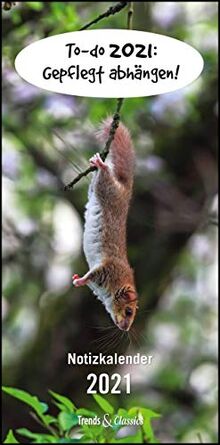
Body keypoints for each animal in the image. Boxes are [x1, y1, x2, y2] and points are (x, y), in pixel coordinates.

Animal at [72, 119, 138, 330]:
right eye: (129, 311)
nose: (125, 328)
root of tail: (125, 191)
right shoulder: (107, 269)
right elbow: (91, 275)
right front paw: (80, 280)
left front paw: (77, 280)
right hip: (108, 190)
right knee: (106, 174)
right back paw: (100, 162)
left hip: (97, 190)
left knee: (96, 182)